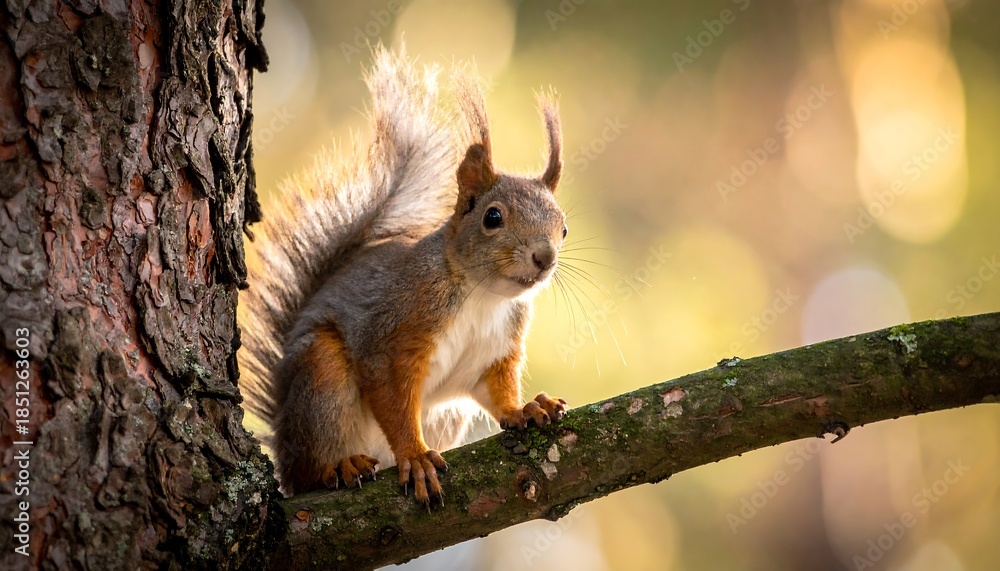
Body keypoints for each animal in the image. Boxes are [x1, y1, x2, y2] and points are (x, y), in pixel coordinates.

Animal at [238, 47, 568, 505]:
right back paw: (336, 467)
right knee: (309, 468)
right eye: (492, 217)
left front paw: (525, 409)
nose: (545, 257)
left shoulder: (494, 352)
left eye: (564, 228)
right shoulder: (396, 333)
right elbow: (390, 395)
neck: (482, 295)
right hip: (321, 377)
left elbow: (494, 391)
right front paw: (414, 456)